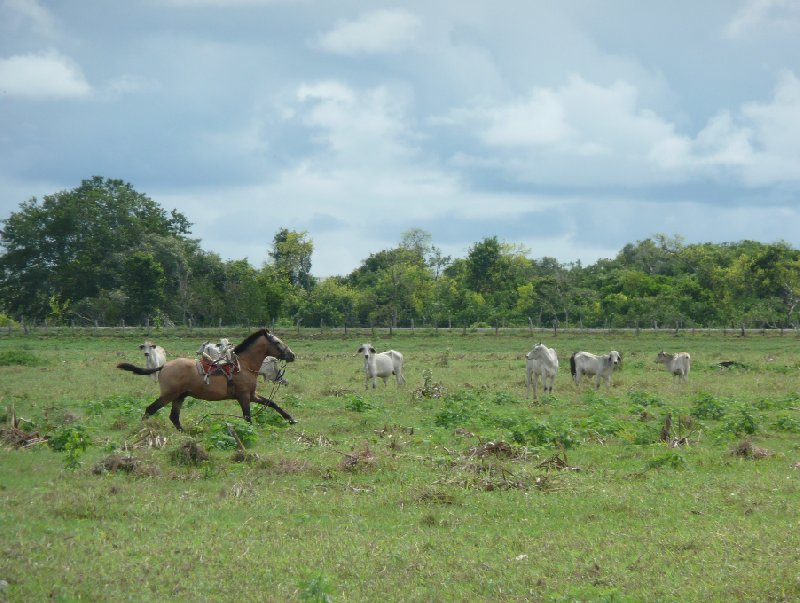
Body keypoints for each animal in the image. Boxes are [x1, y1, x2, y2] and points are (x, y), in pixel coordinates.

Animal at [117, 330, 296, 430]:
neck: (243, 365)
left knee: (174, 417)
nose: (292, 355)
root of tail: (163, 366)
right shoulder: (244, 396)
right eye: (277, 342)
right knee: (150, 409)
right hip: (169, 395)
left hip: (179, 397)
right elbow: (248, 417)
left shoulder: (252, 395)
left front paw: (291, 419)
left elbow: (272, 403)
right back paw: (142, 429)